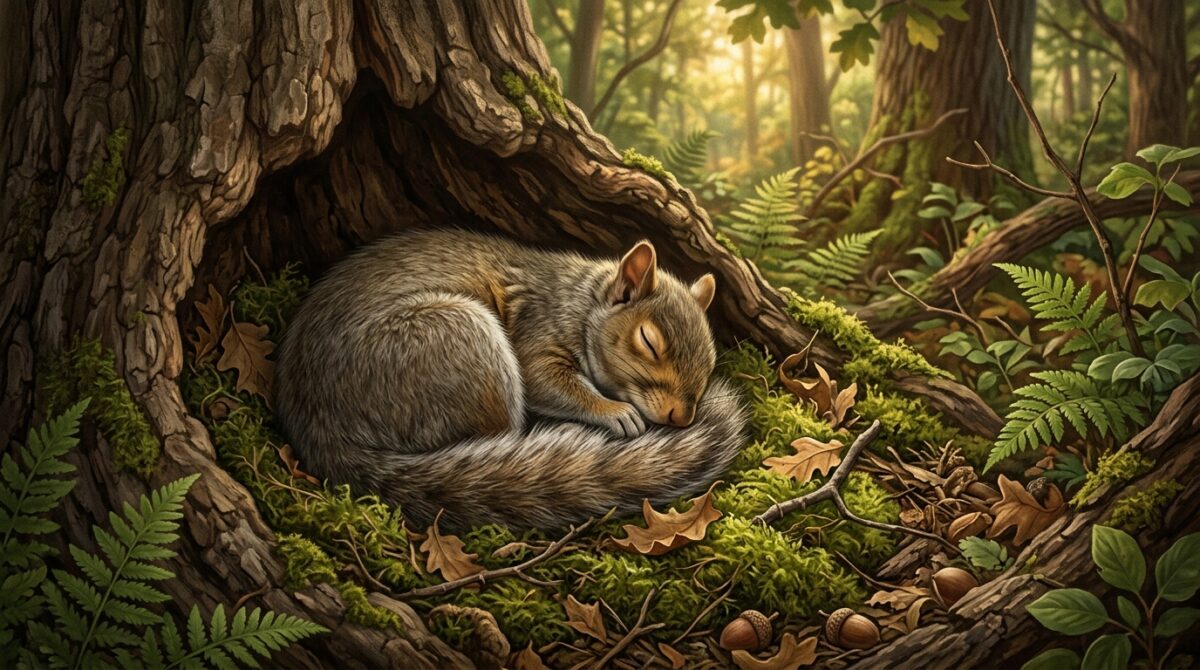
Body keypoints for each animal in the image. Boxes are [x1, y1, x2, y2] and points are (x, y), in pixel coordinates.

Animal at [275, 229, 747, 530]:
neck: (578, 300)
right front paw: (614, 411)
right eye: (648, 341)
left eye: (710, 360)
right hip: (457, 343)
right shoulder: (535, 330)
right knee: (499, 429)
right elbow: (547, 381)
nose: (681, 418)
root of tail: (320, 427)